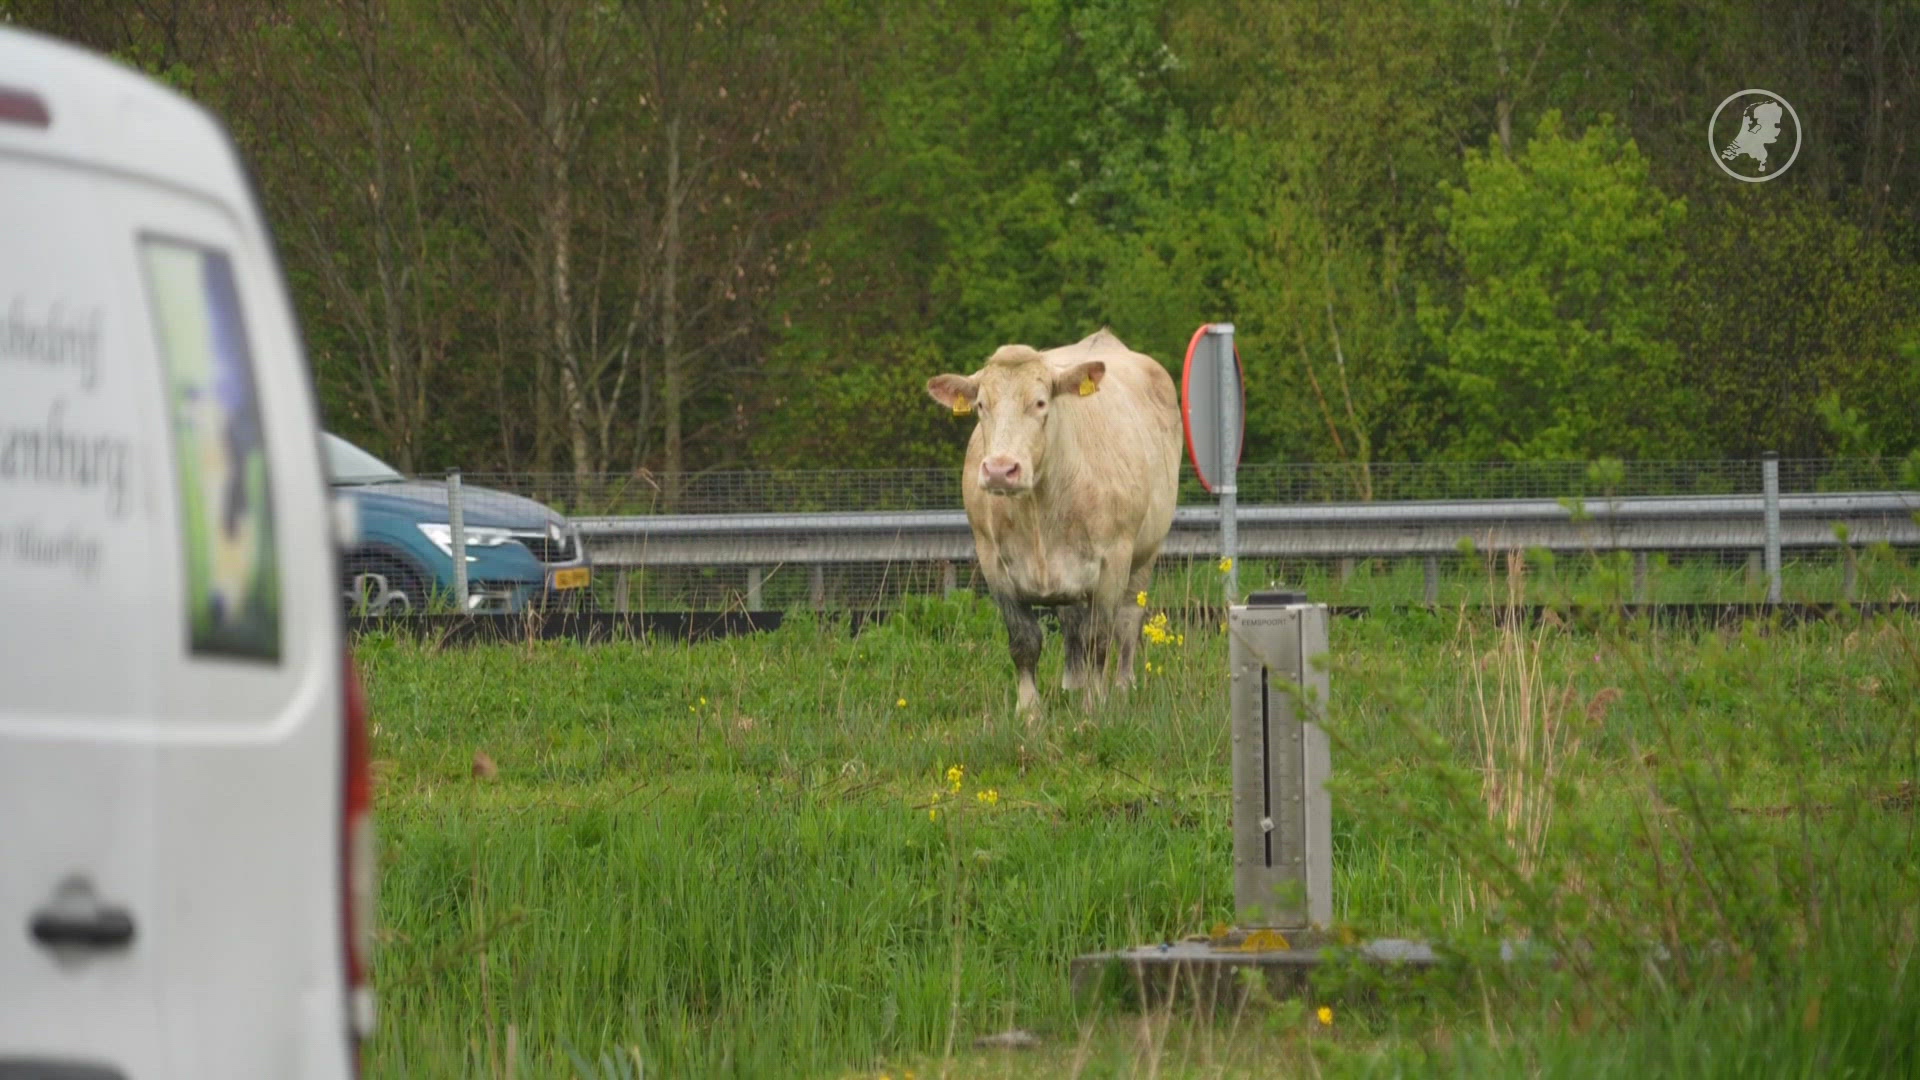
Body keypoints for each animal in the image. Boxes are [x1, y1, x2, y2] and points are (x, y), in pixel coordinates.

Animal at [925, 328, 1182, 716]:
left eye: (1041, 403)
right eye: (981, 405)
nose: (1000, 470)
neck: (1038, 511)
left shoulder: (1113, 562)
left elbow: (1099, 639)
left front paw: (1094, 707)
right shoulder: (994, 565)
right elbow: (1025, 641)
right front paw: (1030, 712)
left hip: (1146, 552)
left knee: (1126, 623)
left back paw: (1123, 687)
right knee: (1072, 621)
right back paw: (1071, 686)